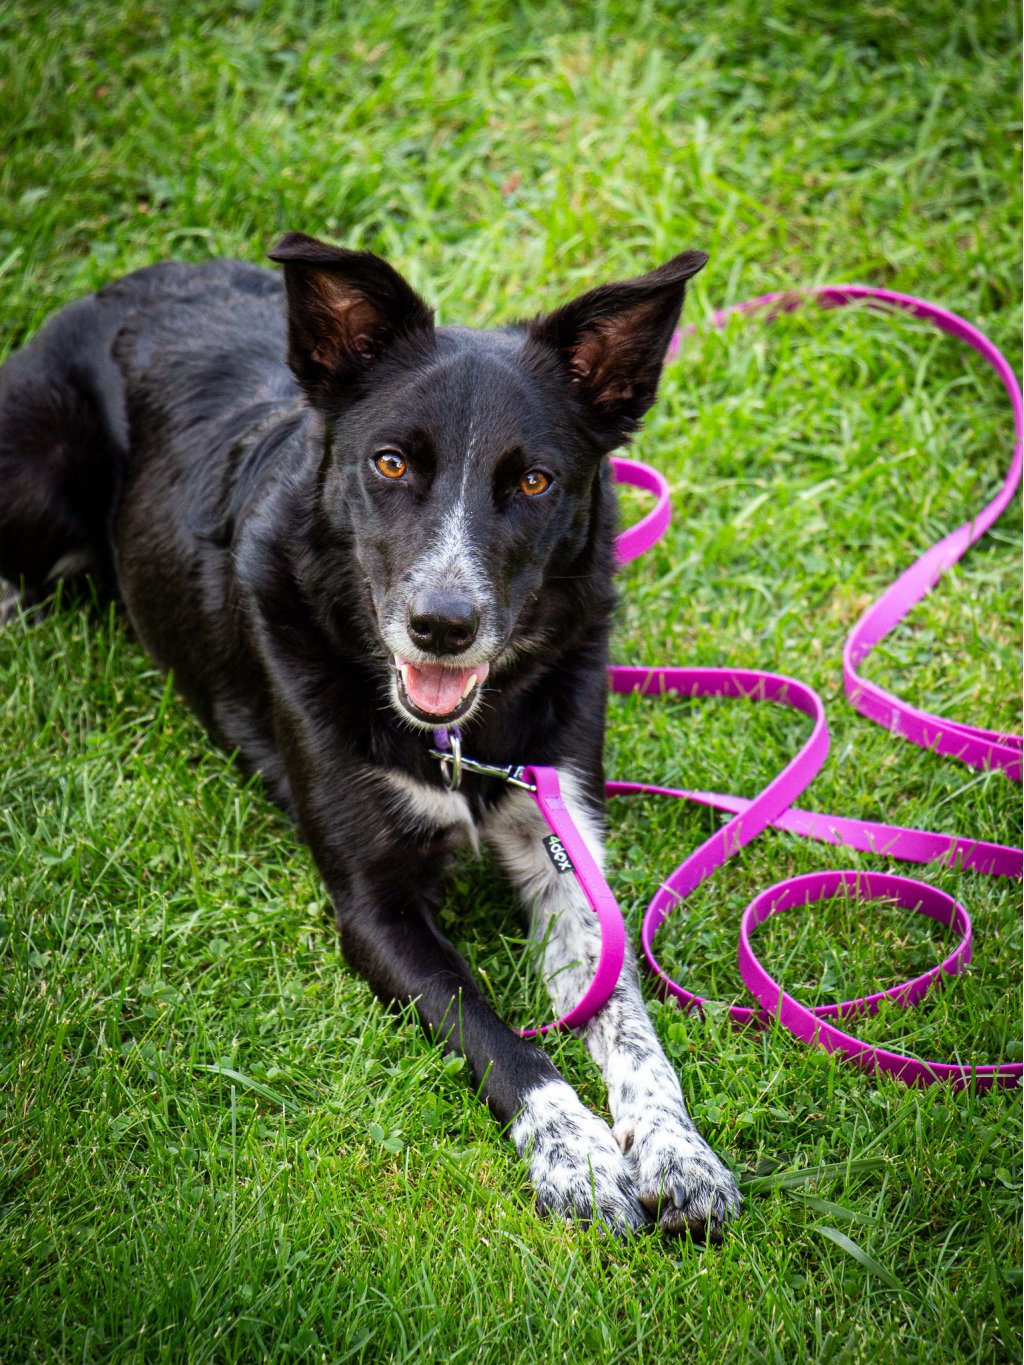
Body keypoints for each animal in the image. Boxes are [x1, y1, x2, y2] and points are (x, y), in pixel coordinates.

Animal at [0, 234, 742, 1239]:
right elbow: (497, 1033)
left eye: (535, 480)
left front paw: (676, 1150)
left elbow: (629, 1022)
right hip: (37, 477)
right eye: (390, 464)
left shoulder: (564, 842)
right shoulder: (372, 908)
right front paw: (579, 1156)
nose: (443, 625)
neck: (461, 737)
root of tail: (112, 288)